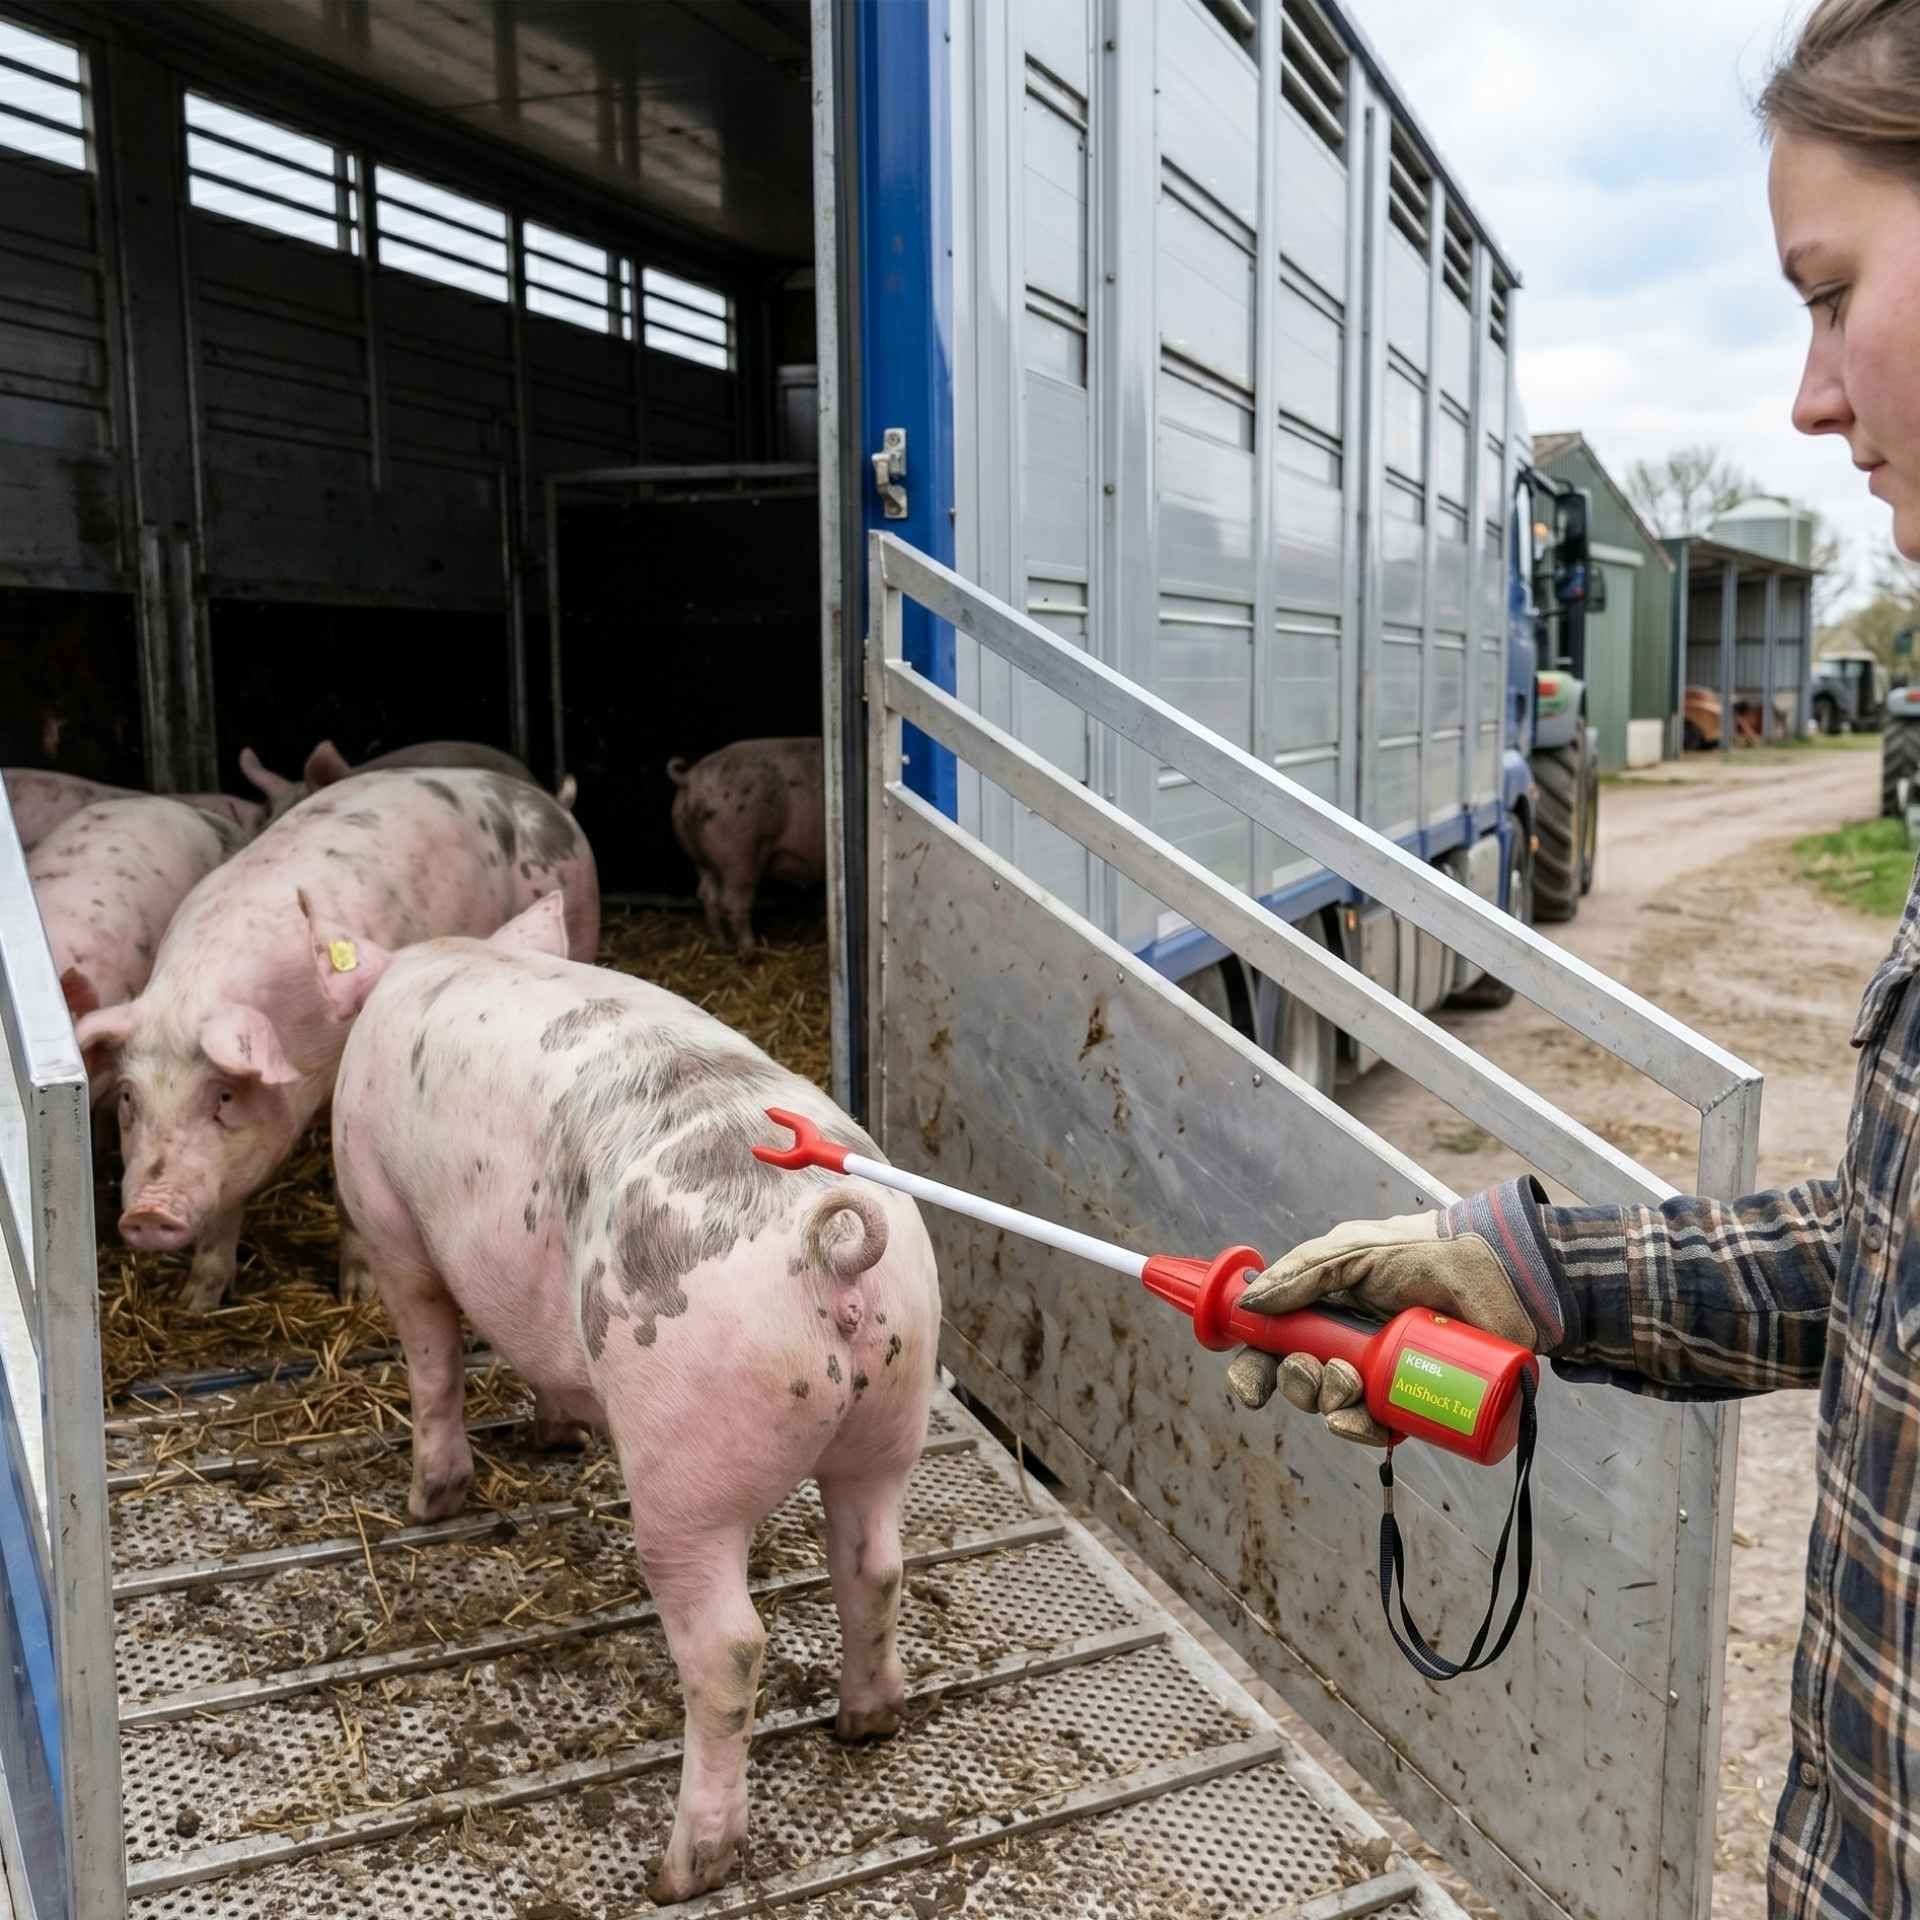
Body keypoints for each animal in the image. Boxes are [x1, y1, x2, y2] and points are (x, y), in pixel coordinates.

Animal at [76, 769, 600, 1312]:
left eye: (222, 1095)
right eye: (129, 1097)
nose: (147, 1214)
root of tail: (544, 797)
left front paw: (358, 1294)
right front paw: (194, 1304)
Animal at [309, 890, 938, 1902]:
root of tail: (831, 1253)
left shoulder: (388, 1215)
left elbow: (432, 1355)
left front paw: (427, 1502)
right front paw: (556, 1433)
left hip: (687, 1463)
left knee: (729, 1647)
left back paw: (678, 1872)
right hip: (893, 1414)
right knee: (874, 1567)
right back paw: (867, 1722)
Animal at [666, 737, 824, 952]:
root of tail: (690, 778)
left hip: (697, 854)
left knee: (707, 894)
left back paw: (722, 945)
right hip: (740, 851)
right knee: (733, 900)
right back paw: (749, 949)